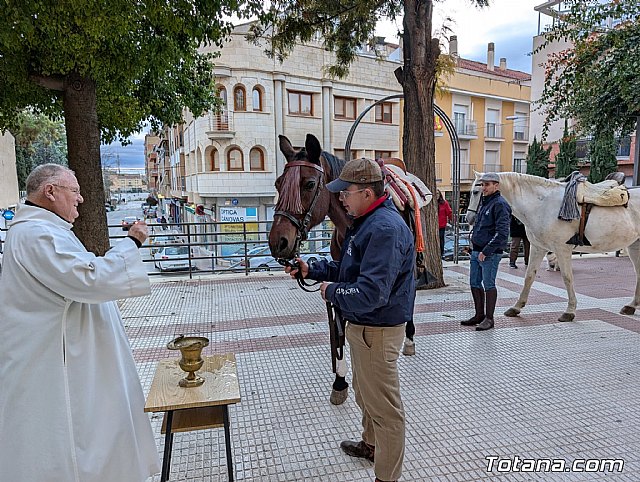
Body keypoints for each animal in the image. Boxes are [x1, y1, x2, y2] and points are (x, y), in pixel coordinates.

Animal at [464, 171, 640, 322]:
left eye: (475, 192)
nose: (469, 218)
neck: (542, 204)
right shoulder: (537, 248)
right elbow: (529, 276)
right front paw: (516, 307)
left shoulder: (562, 250)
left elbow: (567, 278)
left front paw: (570, 311)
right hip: (634, 246)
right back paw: (632, 306)